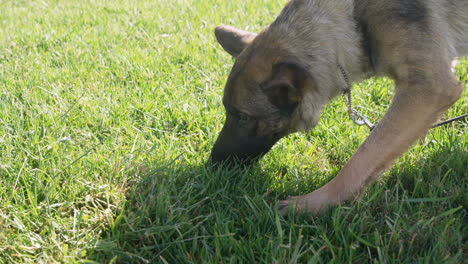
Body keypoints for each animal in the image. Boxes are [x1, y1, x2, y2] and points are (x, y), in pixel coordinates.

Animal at [210, 0, 466, 214]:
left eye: (243, 117)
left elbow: (363, 156)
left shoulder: (427, 91)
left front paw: (315, 202)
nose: (212, 163)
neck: (352, 19)